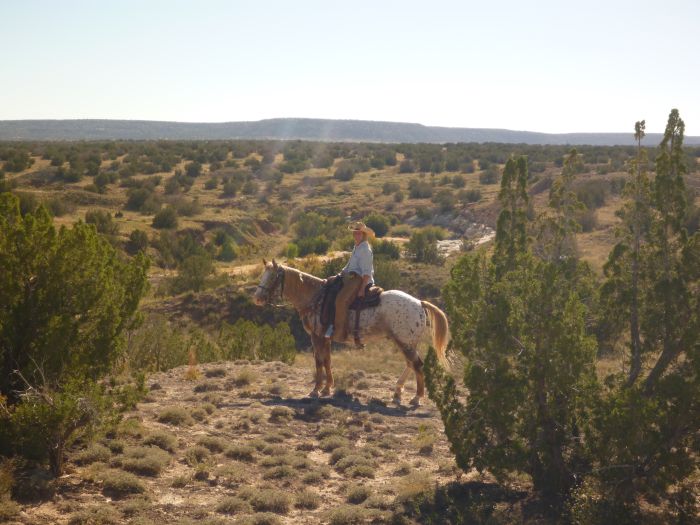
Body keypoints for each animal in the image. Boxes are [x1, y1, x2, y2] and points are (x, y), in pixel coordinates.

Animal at [252, 258, 448, 406]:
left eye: (272, 277)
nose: (257, 298)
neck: (315, 298)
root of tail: (419, 303)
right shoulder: (325, 337)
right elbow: (327, 360)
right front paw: (327, 388)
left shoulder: (316, 336)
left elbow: (318, 361)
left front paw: (315, 390)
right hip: (404, 341)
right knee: (410, 364)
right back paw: (398, 393)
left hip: (405, 341)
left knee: (417, 365)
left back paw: (416, 398)